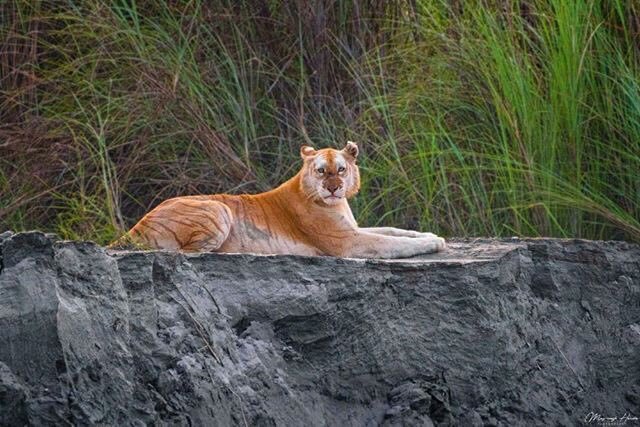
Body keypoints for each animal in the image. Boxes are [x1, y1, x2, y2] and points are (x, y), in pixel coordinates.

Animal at [114, 142, 444, 260]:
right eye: (321, 171)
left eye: (341, 169)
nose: (334, 188)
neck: (334, 204)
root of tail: (135, 227)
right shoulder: (347, 242)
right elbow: (393, 243)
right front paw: (433, 243)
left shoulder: (353, 229)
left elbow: (395, 231)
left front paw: (431, 235)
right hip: (219, 209)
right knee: (189, 253)